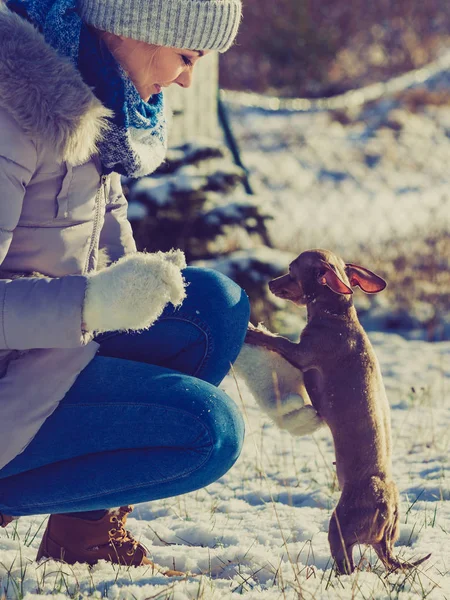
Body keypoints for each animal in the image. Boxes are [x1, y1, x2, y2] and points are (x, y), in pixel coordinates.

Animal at [244, 250, 430, 576]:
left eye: (291, 270)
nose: (269, 283)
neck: (337, 316)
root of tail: (387, 508)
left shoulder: (302, 353)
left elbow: (275, 340)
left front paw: (253, 331)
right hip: (377, 536)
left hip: (339, 527)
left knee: (347, 565)